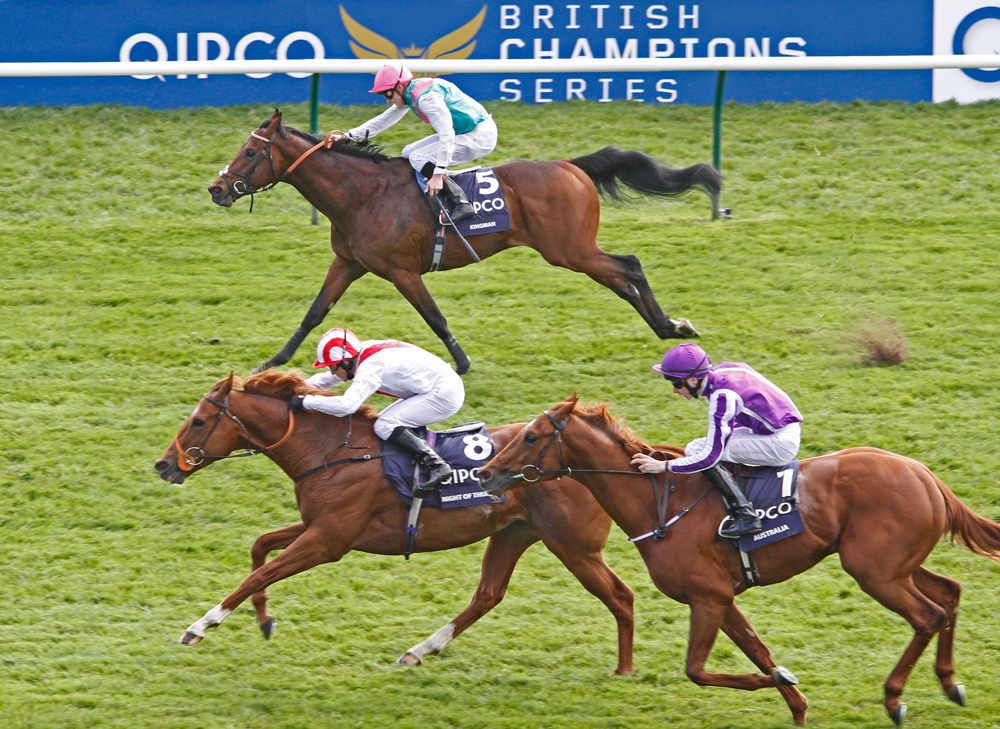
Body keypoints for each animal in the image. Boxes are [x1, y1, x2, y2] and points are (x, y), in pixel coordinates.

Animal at [154, 370, 640, 672]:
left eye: (199, 421)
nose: (163, 465)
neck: (332, 452)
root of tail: (590, 461)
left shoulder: (327, 541)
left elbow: (260, 573)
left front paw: (200, 626)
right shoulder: (320, 528)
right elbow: (260, 547)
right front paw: (264, 619)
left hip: (574, 545)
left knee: (621, 596)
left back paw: (624, 670)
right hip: (512, 533)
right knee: (487, 595)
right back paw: (420, 650)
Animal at [207, 112, 720, 376]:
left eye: (250, 152)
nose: (217, 189)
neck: (363, 194)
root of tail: (570, 166)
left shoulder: (401, 270)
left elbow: (433, 316)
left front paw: (461, 362)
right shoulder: (349, 262)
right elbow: (314, 312)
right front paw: (274, 361)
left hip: (569, 250)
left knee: (629, 265)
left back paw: (673, 327)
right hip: (572, 251)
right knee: (621, 276)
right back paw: (668, 327)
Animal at [472, 396, 1000, 724]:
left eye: (533, 436)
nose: (486, 472)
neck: (659, 502)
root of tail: (925, 475)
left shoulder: (707, 597)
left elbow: (698, 671)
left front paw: (783, 682)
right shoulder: (721, 598)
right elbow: (758, 650)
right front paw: (797, 705)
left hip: (875, 572)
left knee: (927, 615)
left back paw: (895, 700)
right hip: (894, 565)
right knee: (949, 594)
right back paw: (951, 684)